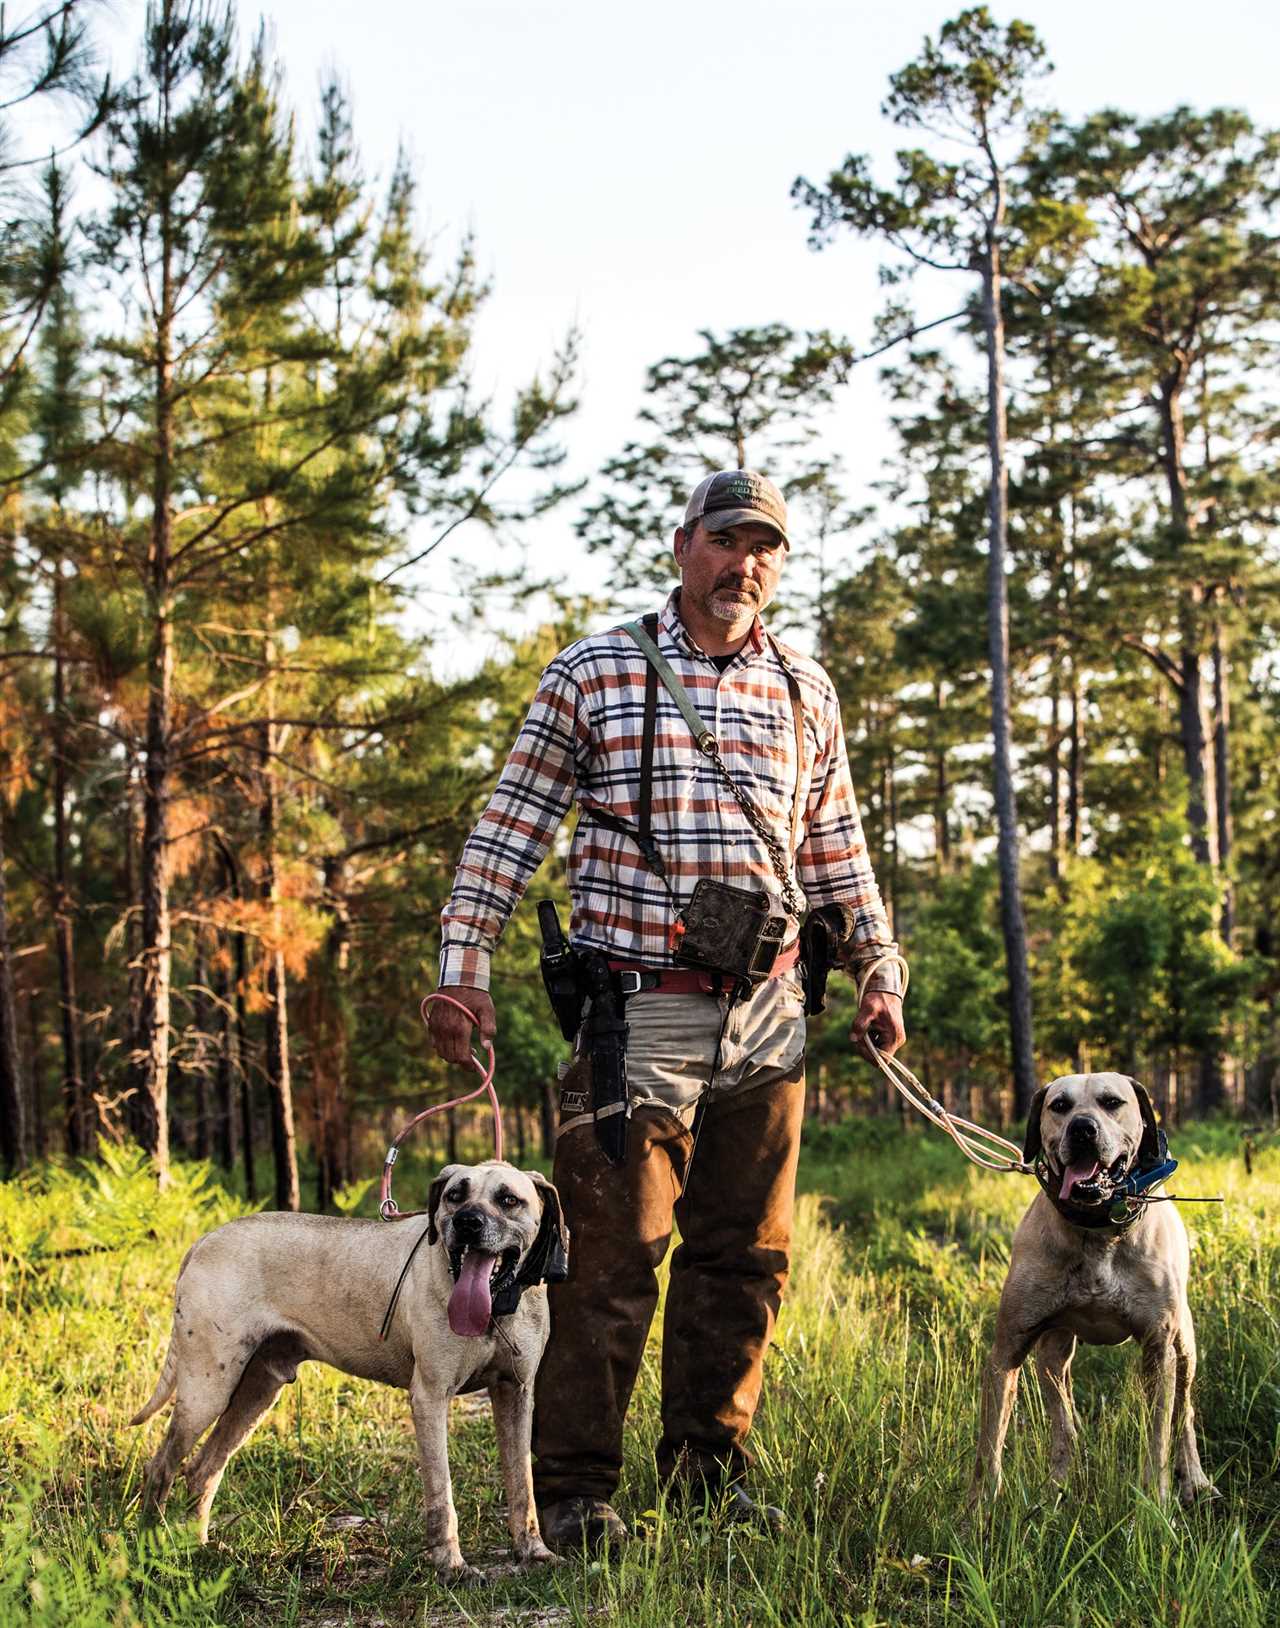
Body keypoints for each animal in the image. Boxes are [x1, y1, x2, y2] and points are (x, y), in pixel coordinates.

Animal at [131, 1165, 566, 1582]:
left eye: (508, 1200)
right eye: (454, 1195)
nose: (467, 1223)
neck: (496, 1308)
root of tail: (204, 1241)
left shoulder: (516, 1394)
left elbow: (522, 1484)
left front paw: (534, 1552)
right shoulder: (430, 1397)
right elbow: (441, 1494)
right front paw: (450, 1567)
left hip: (255, 1391)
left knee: (202, 1469)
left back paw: (200, 1547)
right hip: (208, 1387)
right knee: (162, 1467)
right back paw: (151, 1546)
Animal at [970, 1074, 1211, 1504]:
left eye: (1112, 1102)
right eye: (1059, 1106)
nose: (1082, 1128)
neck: (1096, 1227)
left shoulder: (1159, 1349)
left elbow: (1158, 1436)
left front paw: (1156, 1501)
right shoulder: (1007, 1350)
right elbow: (990, 1441)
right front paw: (979, 1509)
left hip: (1184, 1347)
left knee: (1184, 1413)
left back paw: (1195, 1479)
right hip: (1053, 1350)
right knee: (1061, 1410)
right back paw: (1059, 1482)